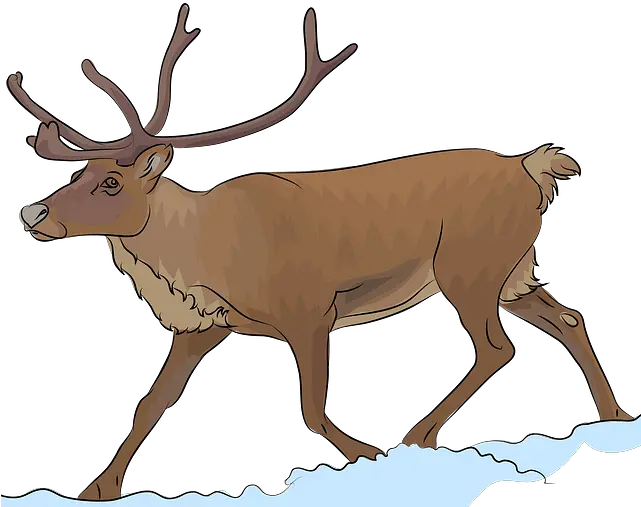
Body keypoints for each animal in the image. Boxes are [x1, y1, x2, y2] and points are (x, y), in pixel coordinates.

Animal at [9, 4, 634, 501]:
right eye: (82, 173)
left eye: (112, 182)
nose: (33, 213)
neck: (207, 256)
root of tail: (534, 167)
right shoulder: (204, 327)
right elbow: (150, 402)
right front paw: (97, 488)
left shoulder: (310, 310)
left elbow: (311, 406)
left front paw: (366, 454)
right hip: (512, 272)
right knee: (567, 318)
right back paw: (614, 417)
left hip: (468, 268)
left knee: (495, 346)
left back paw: (415, 437)